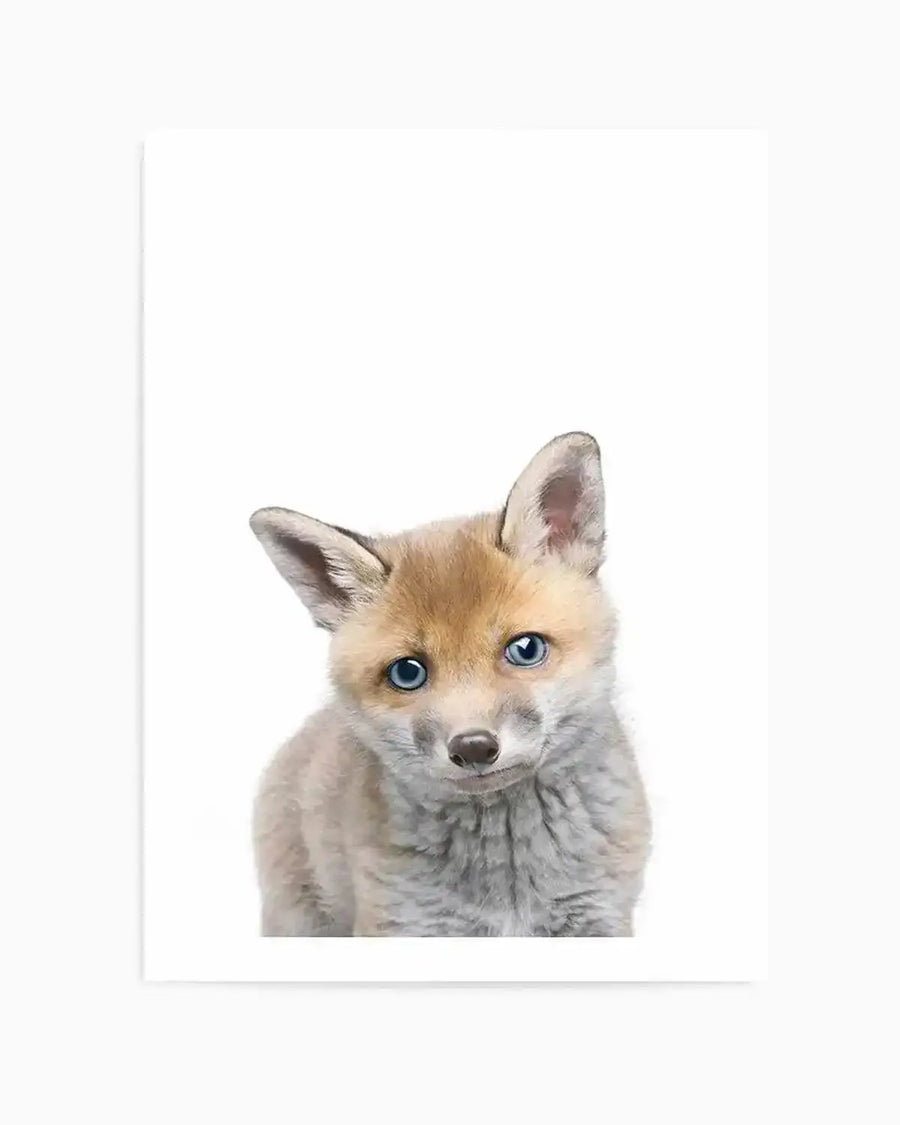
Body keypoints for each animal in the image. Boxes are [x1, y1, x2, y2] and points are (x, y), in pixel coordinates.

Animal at [249, 431, 650, 936]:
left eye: (525, 649)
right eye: (407, 672)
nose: (474, 747)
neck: (509, 880)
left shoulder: (599, 916)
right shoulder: (403, 922)